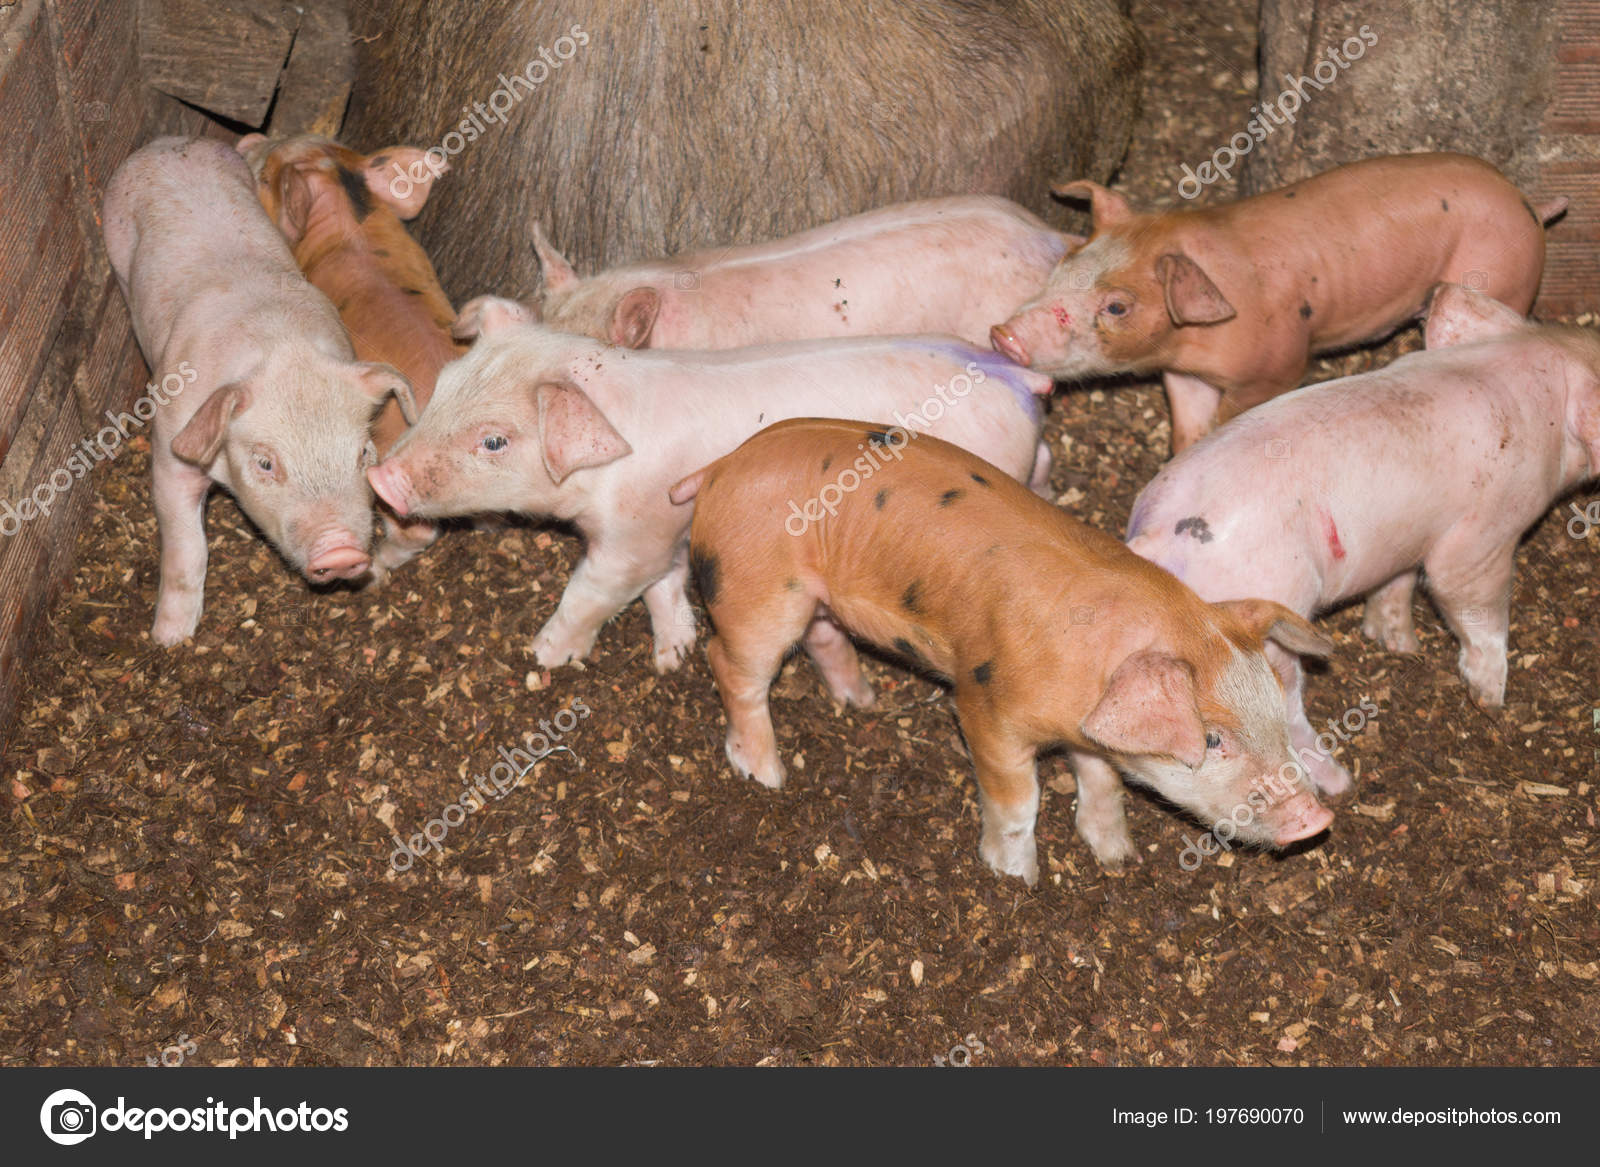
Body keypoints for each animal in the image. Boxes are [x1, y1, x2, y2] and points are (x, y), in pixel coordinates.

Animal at [102, 137, 414, 644]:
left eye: (363, 454)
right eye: (265, 464)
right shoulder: (170, 449)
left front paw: (378, 578)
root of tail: (170, 142)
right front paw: (169, 639)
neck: (281, 350)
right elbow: (187, 548)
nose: (342, 552)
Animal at [366, 302, 1052, 672]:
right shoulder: (666, 527)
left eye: (494, 441)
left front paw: (543, 655)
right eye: (446, 382)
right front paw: (673, 656)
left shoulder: (633, 535)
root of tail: (1010, 374)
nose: (380, 478)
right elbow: (665, 585)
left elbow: (594, 591)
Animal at [671, 418, 1336, 883]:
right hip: (755, 592)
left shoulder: (1088, 732)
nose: (1318, 818)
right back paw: (767, 775)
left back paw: (862, 702)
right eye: (1213, 739)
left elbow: (1102, 782)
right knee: (730, 664)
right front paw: (1015, 879)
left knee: (822, 634)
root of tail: (722, 466)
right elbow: (1020, 801)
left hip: (813, 595)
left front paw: (1117, 858)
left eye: (1276, 715)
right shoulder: (985, 710)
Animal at [990, 153, 1568, 452]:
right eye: (1064, 264)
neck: (1197, 339)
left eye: (1116, 306)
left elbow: (1233, 415)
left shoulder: (1279, 367)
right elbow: (1188, 426)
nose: (1003, 334)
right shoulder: (1183, 374)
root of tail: (1528, 205)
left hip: (1501, 280)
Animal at [1125, 283, 1600, 796]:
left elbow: (1396, 584)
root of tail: (1152, 539)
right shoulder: (1482, 535)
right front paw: (1491, 698)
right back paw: (1339, 782)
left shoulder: (1405, 538)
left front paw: (1399, 642)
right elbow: (1472, 604)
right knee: (1285, 711)